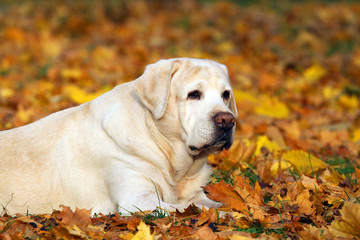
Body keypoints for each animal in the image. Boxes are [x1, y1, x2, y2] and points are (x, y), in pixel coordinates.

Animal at [0, 57, 238, 214]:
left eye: (225, 95)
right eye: (194, 94)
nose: (227, 120)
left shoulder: (194, 193)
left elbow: (205, 202)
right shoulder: (138, 199)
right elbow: (189, 208)